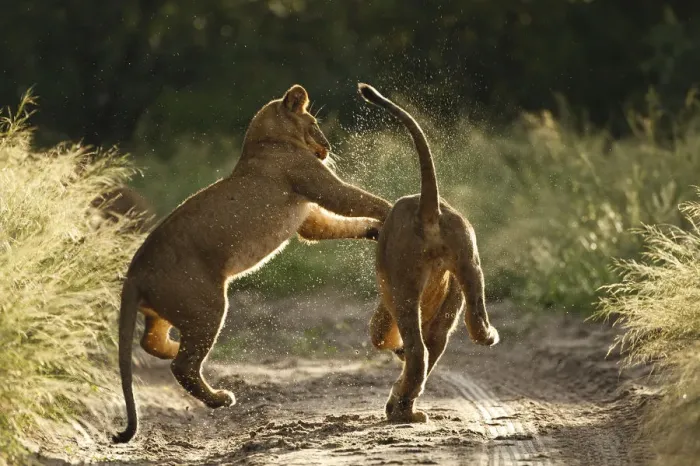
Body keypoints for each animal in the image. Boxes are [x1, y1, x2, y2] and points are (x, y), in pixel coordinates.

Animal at [113, 84, 392, 443]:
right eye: (314, 124)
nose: (328, 148)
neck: (264, 139)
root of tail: (135, 271)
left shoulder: (309, 219)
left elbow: (334, 225)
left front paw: (376, 229)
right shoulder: (319, 184)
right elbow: (358, 199)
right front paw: (396, 211)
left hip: (167, 310)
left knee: (151, 342)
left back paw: (173, 349)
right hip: (207, 306)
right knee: (183, 366)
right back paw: (218, 397)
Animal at [358, 83, 499, 423]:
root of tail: (428, 206)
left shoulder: (387, 305)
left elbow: (381, 336)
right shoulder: (446, 310)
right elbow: (433, 346)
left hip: (404, 286)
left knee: (417, 351)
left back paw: (401, 411)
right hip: (469, 265)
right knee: (469, 325)